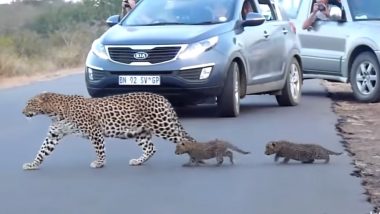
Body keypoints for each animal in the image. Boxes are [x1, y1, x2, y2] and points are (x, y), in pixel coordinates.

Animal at [21, 91, 196, 170]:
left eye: (30, 103)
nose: (22, 112)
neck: (54, 113)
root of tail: (162, 97)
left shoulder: (94, 131)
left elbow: (99, 149)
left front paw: (99, 163)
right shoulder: (54, 135)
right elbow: (42, 151)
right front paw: (32, 164)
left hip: (163, 126)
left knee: (189, 140)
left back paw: (195, 160)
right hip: (139, 132)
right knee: (151, 148)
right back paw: (138, 161)